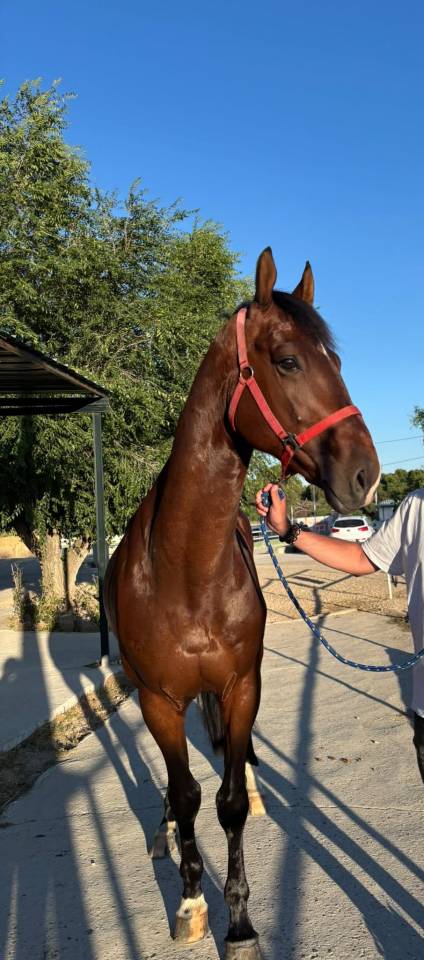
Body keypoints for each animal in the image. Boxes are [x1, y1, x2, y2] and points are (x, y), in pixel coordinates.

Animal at [104, 247, 380, 959]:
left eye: (337, 362)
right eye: (287, 361)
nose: (365, 475)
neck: (184, 570)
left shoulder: (241, 684)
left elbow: (225, 802)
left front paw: (240, 923)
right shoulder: (158, 700)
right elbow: (186, 794)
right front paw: (191, 901)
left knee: (235, 757)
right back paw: (164, 833)